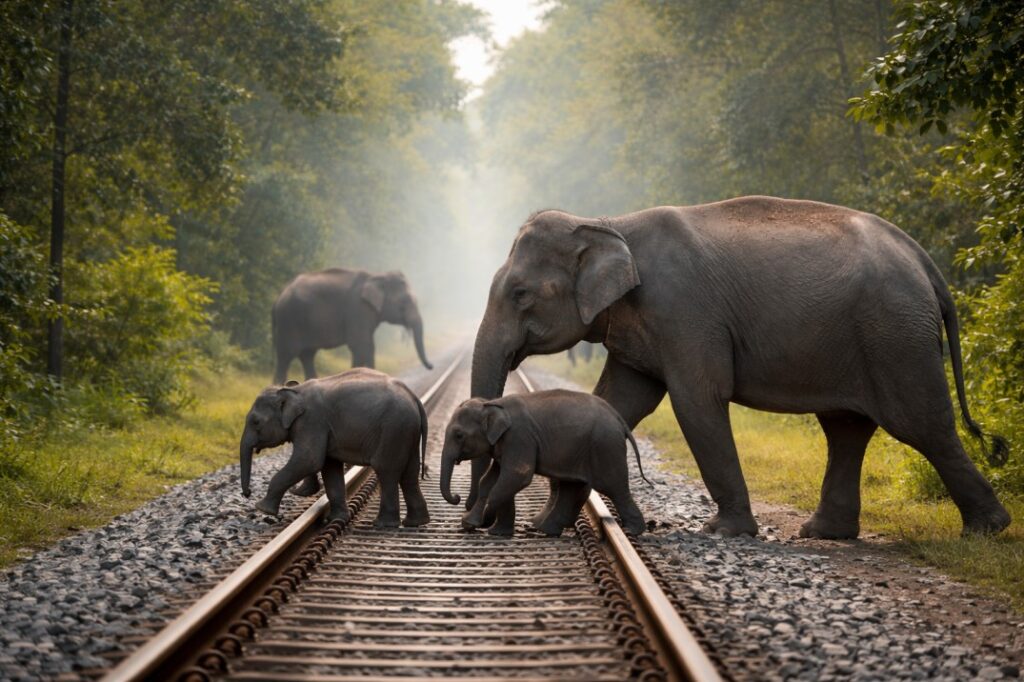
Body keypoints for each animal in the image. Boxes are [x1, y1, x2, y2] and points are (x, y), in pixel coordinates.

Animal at [238, 368, 430, 528]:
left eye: (255, 421)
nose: (247, 493)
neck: (294, 391)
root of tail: (414, 398)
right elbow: (329, 467)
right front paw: (336, 520)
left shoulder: (312, 421)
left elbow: (309, 460)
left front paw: (262, 508)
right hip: (406, 432)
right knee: (409, 473)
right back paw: (415, 522)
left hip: (393, 429)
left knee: (386, 470)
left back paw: (383, 524)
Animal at [272, 268, 432, 385]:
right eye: (404, 302)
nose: (431, 367)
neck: (376, 276)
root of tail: (279, 296)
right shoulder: (358, 309)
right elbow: (361, 345)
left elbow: (365, 347)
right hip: (289, 321)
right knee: (286, 355)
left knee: (307, 355)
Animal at [439, 390, 648, 536]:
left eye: (459, 435)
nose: (457, 497)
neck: (492, 403)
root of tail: (618, 419)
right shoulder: (504, 444)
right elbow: (491, 480)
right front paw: (477, 526)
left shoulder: (519, 438)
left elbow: (516, 477)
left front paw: (484, 523)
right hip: (580, 452)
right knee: (571, 486)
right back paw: (547, 531)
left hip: (605, 447)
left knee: (614, 486)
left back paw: (632, 531)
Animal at [468, 196, 1011, 539]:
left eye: (521, 294)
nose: (473, 522)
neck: (609, 222)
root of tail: (923, 260)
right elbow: (616, 403)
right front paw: (545, 528)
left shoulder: (685, 311)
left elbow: (697, 400)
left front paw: (724, 532)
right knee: (846, 429)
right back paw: (825, 534)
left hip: (895, 335)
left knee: (921, 425)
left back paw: (987, 530)